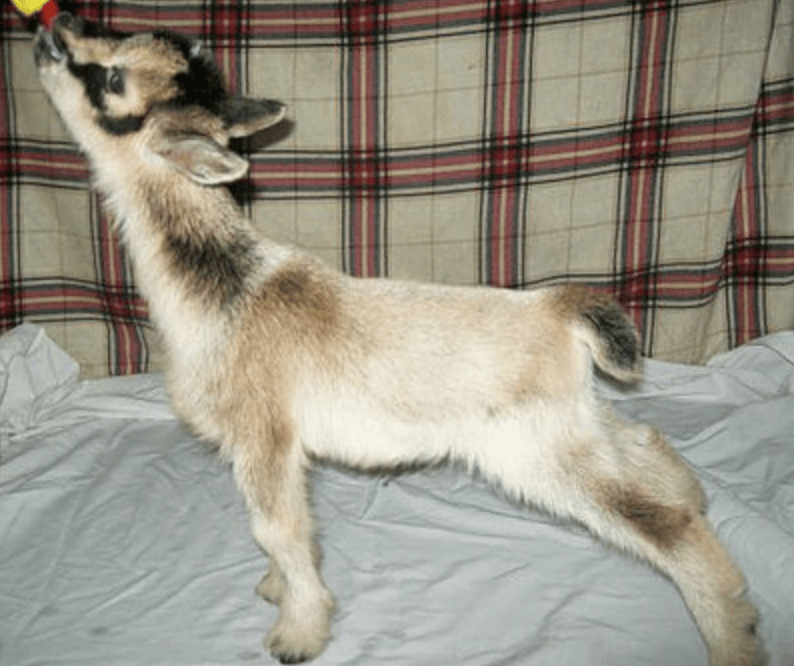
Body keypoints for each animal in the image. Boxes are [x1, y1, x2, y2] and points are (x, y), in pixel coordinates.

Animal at [34, 14, 764, 665]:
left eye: (113, 77)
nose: (54, 29)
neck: (227, 290)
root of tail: (554, 306)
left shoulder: (265, 441)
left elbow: (276, 528)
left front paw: (299, 632)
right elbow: (279, 539)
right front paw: (276, 589)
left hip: (537, 451)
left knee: (663, 523)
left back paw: (733, 632)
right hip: (574, 423)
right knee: (642, 441)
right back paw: (694, 494)